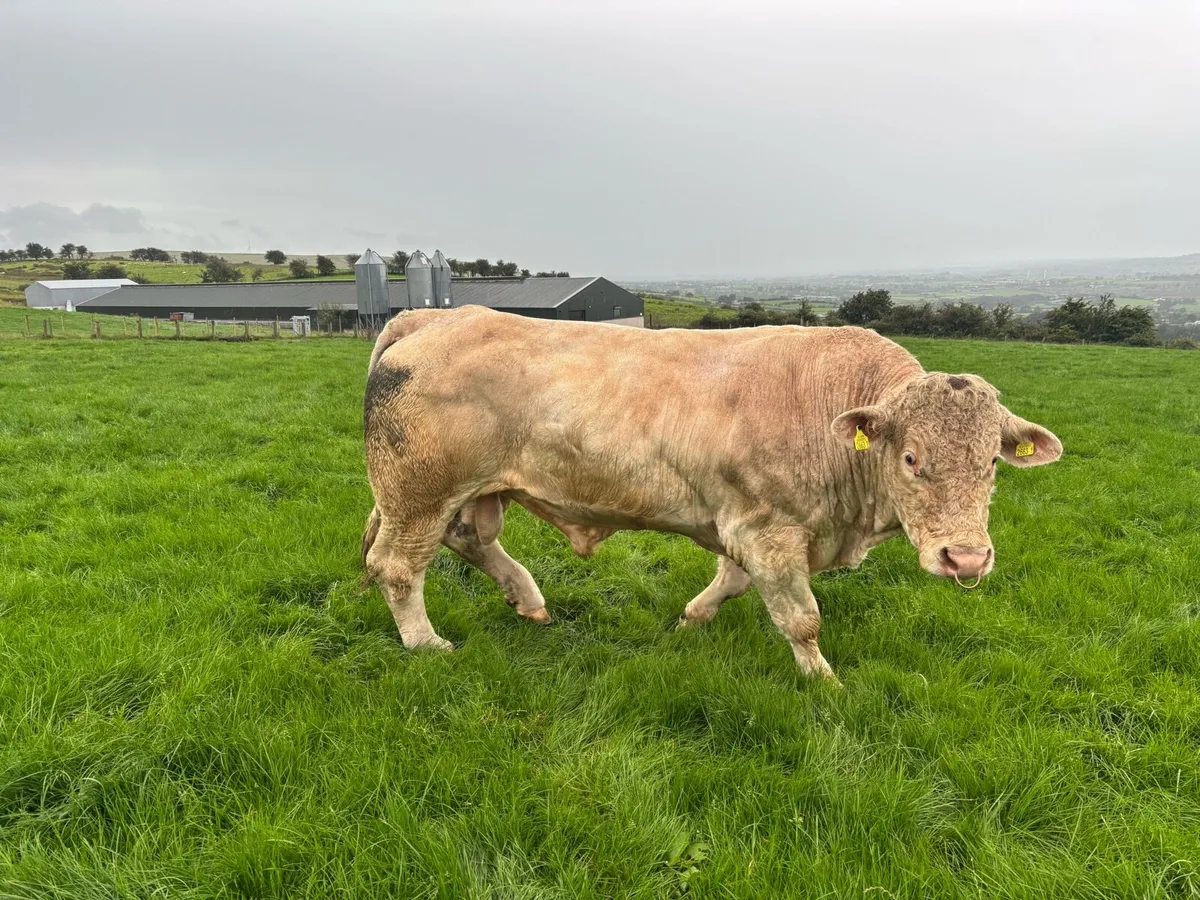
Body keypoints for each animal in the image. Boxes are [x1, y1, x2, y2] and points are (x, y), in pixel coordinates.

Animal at [360, 306, 1062, 680]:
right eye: (912, 458)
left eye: (991, 464)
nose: (965, 558)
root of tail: (435, 315)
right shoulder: (768, 528)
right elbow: (801, 617)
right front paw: (825, 682)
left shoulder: (748, 526)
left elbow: (732, 580)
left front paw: (692, 619)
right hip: (419, 490)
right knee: (396, 565)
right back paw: (426, 644)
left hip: (470, 491)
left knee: (469, 542)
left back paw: (528, 600)